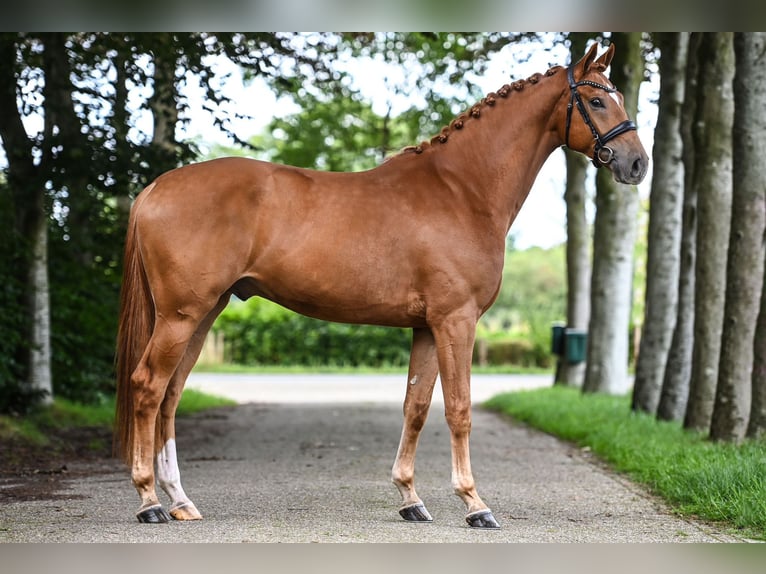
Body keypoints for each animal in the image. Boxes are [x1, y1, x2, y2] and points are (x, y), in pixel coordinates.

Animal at [115, 44, 648, 532]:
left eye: (619, 96)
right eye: (597, 101)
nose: (637, 164)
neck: (462, 190)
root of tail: (156, 188)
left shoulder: (428, 328)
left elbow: (416, 407)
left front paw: (411, 498)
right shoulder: (456, 321)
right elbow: (459, 409)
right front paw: (474, 504)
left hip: (202, 314)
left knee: (171, 395)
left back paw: (180, 501)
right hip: (181, 316)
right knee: (148, 387)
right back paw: (149, 501)